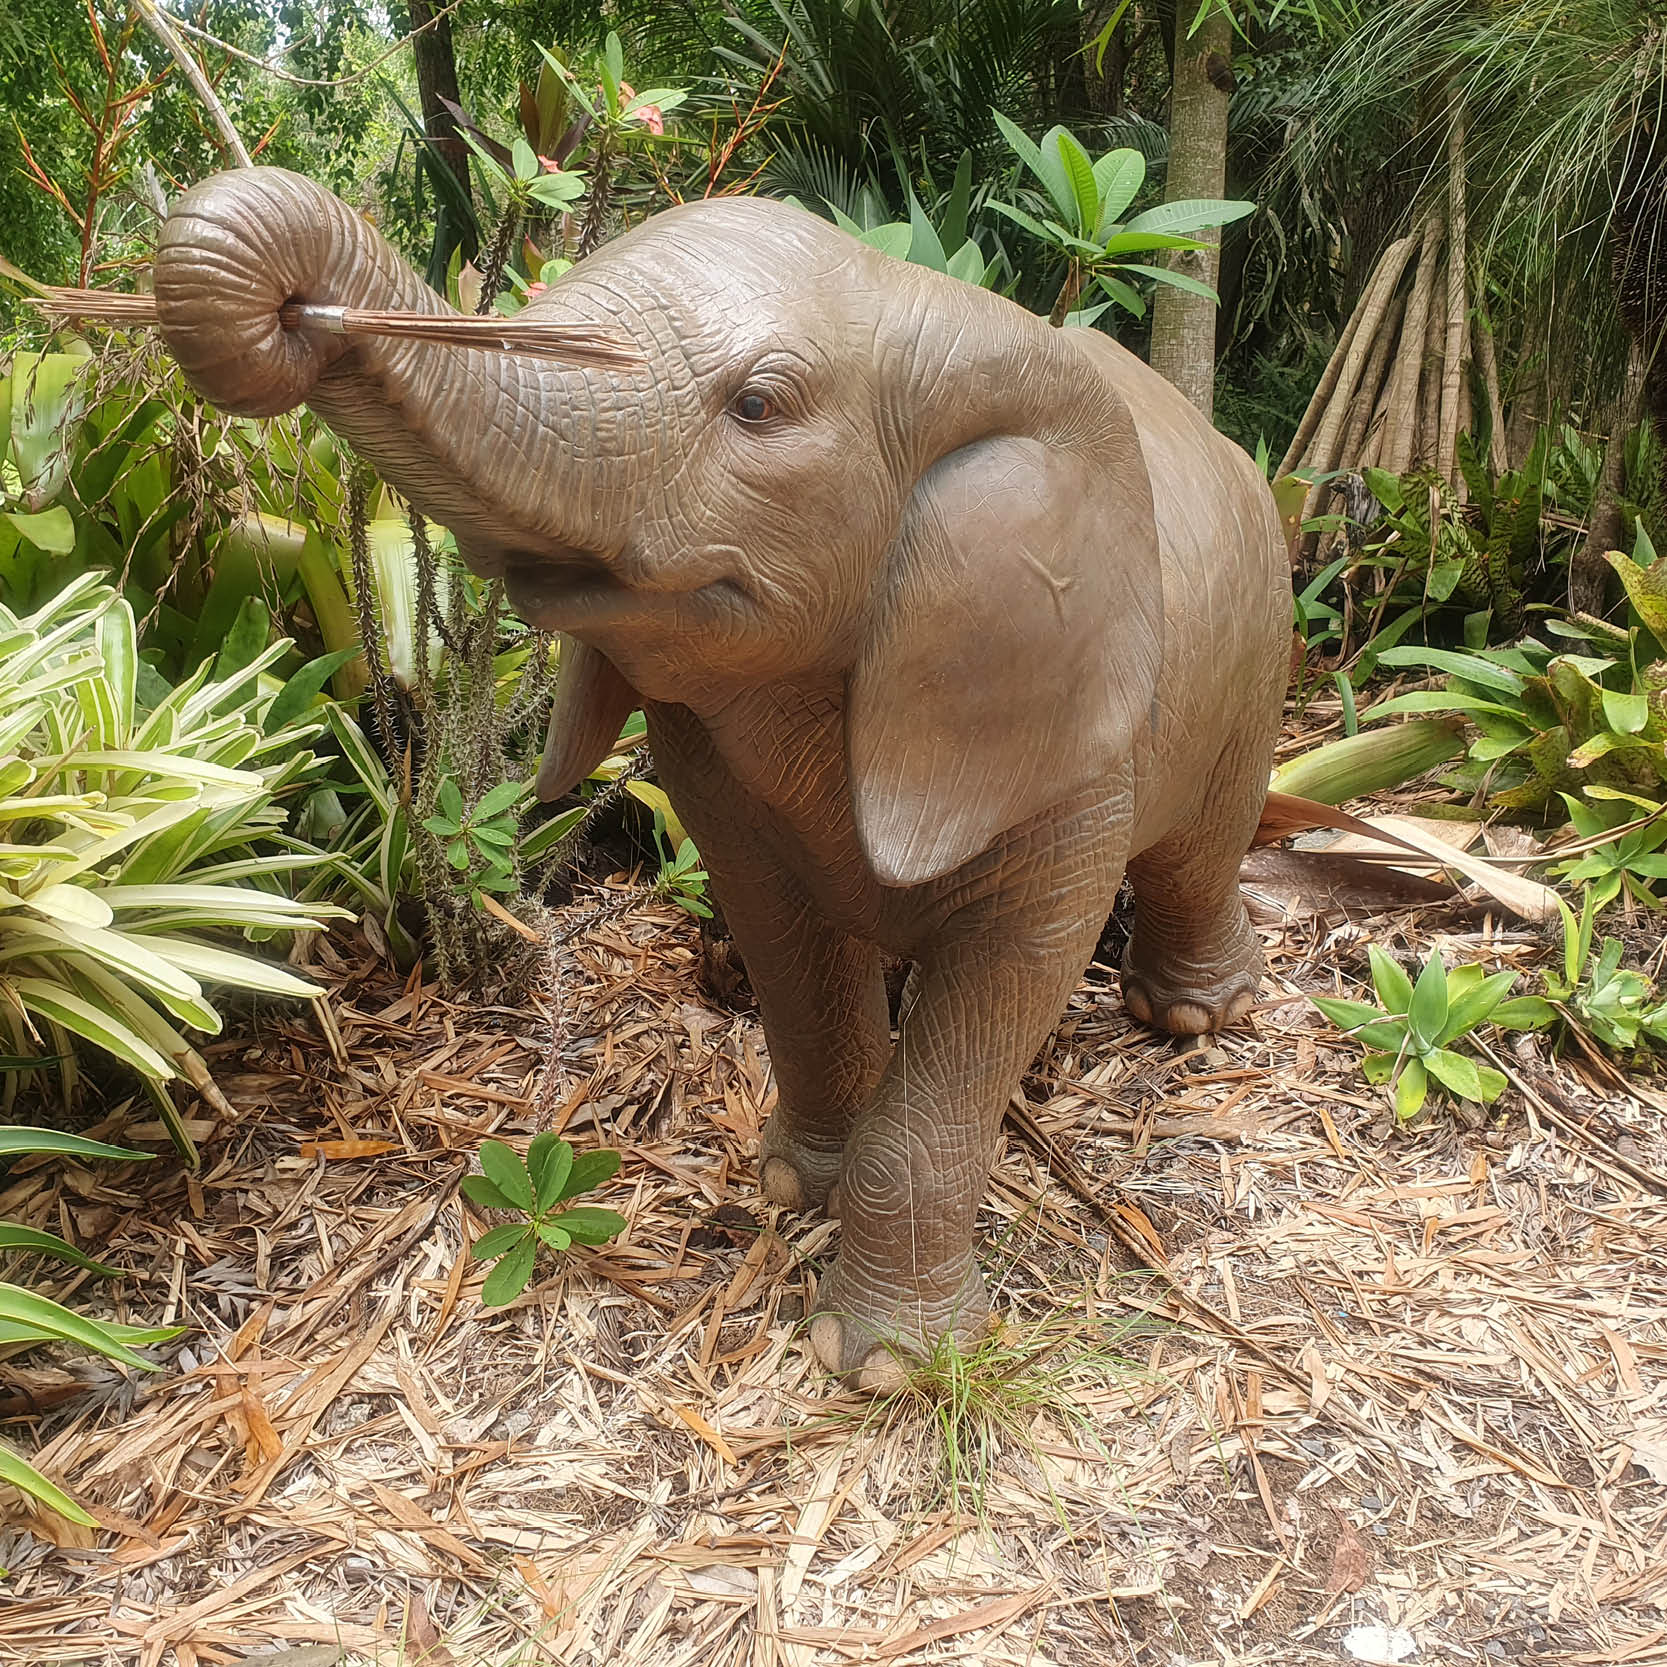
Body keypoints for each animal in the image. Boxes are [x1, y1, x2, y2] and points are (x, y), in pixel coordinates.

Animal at [152, 168, 1288, 1388]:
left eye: (758, 406)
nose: (293, 313)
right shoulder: (706, 752)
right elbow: (780, 935)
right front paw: (794, 1186)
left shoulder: (1060, 735)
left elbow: (1008, 974)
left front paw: (884, 1367)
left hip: (1255, 642)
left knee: (1200, 842)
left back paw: (1193, 1016)